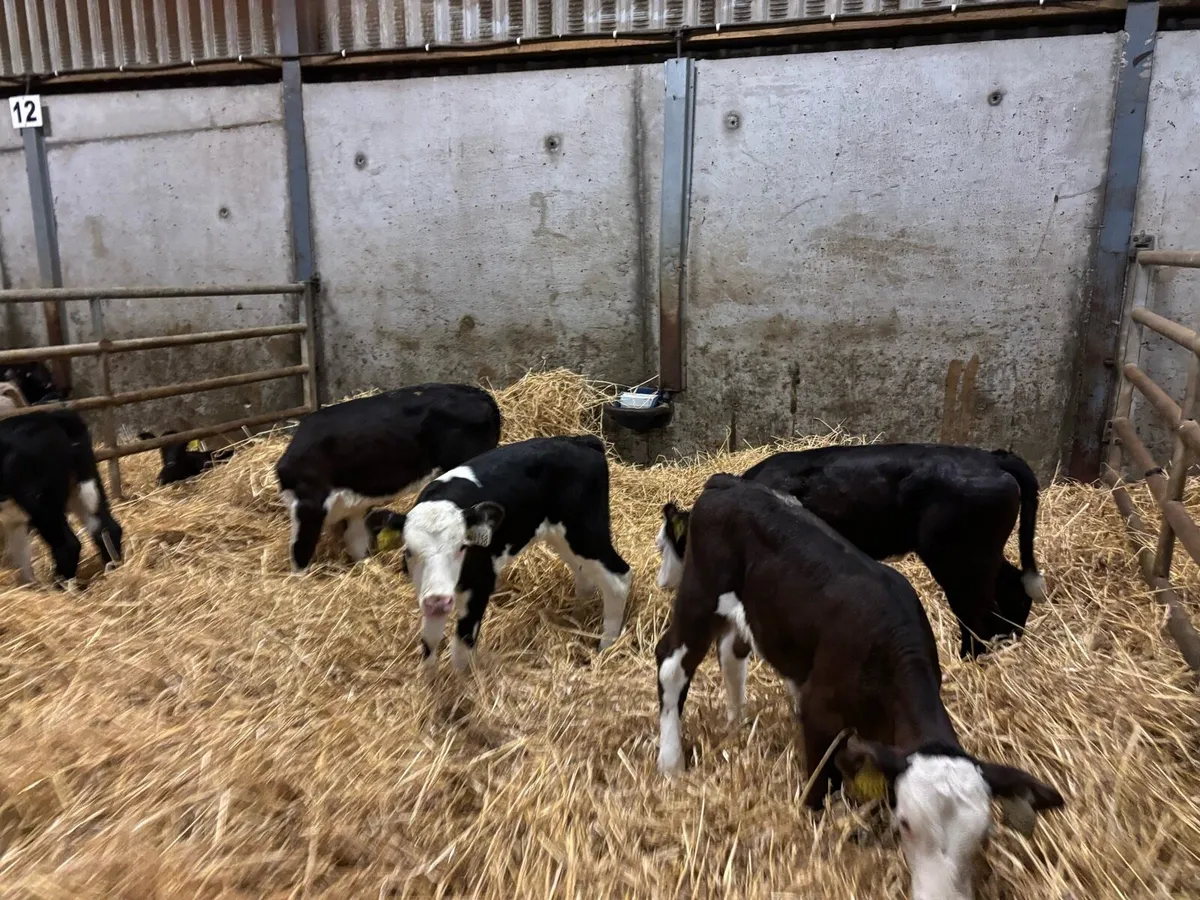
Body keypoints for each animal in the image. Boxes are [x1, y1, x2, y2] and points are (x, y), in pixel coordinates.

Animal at [0, 409, 123, 585]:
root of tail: (50, 416)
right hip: (82, 486)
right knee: (106, 528)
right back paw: (112, 569)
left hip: (40, 504)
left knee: (68, 545)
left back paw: (58, 585)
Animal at [390, 434, 631, 672]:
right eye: (409, 551)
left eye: (461, 547)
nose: (438, 600)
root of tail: (583, 441)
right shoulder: (429, 594)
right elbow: (429, 640)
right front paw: (430, 679)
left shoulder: (481, 584)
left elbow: (461, 646)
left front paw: (459, 681)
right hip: (564, 538)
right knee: (585, 576)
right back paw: (577, 618)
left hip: (585, 532)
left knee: (619, 578)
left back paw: (606, 646)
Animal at [654, 474, 1065, 900]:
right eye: (905, 823)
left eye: (983, 836)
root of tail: (726, 482)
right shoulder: (818, 713)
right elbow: (818, 789)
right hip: (699, 595)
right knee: (671, 664)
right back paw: (671, 761)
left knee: (732, 652)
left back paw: (737, 724)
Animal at [657, 444, 1045, 658]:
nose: (666, 583)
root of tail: (994, 459)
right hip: (981, 551)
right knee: (1012, 586)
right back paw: (1009, 641)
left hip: (959, 557)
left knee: (976, 609)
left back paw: (970, 659)